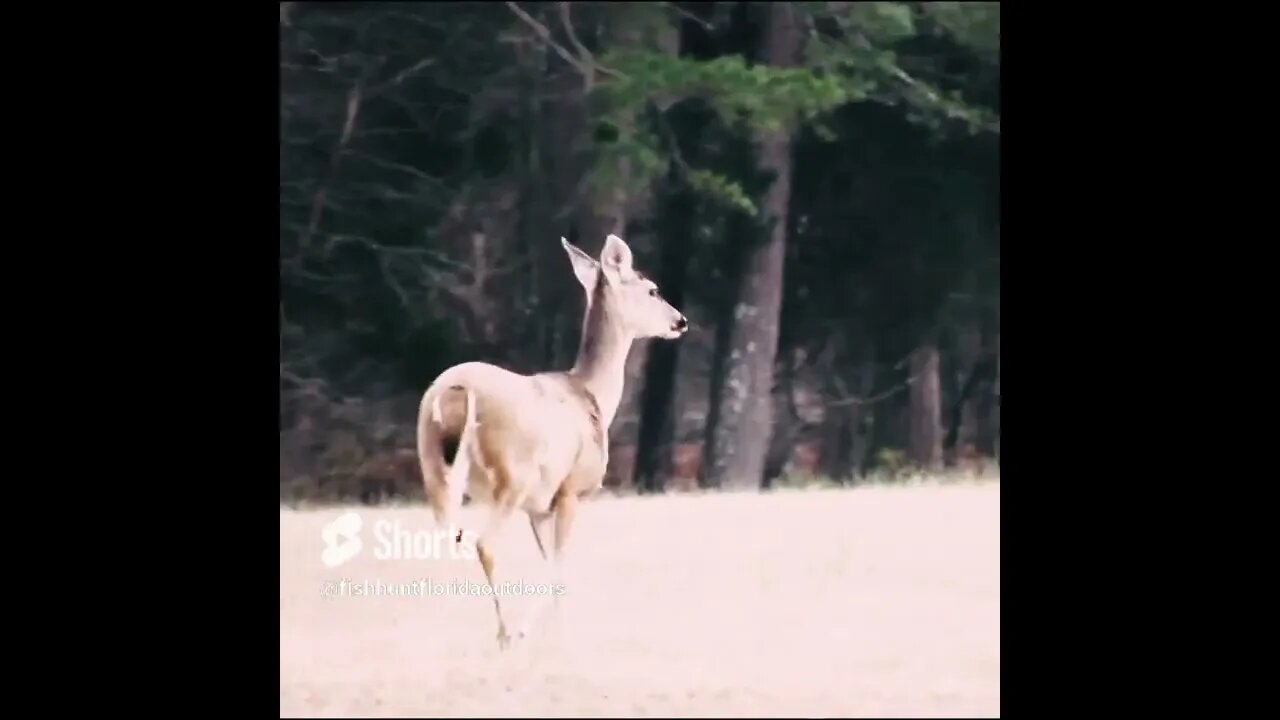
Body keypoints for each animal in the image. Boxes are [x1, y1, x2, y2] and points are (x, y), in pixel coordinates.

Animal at [414, 233, 686, 648]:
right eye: (652, 289)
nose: (680, 321)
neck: (591, 396)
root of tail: (453, 392)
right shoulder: (571, 489)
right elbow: (559, 565)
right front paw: (546, 635)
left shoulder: (539, 507)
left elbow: (551, 563)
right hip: (511, 472)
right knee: (484, 543)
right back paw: (506, 632)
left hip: (434, 467)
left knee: (443, 541)